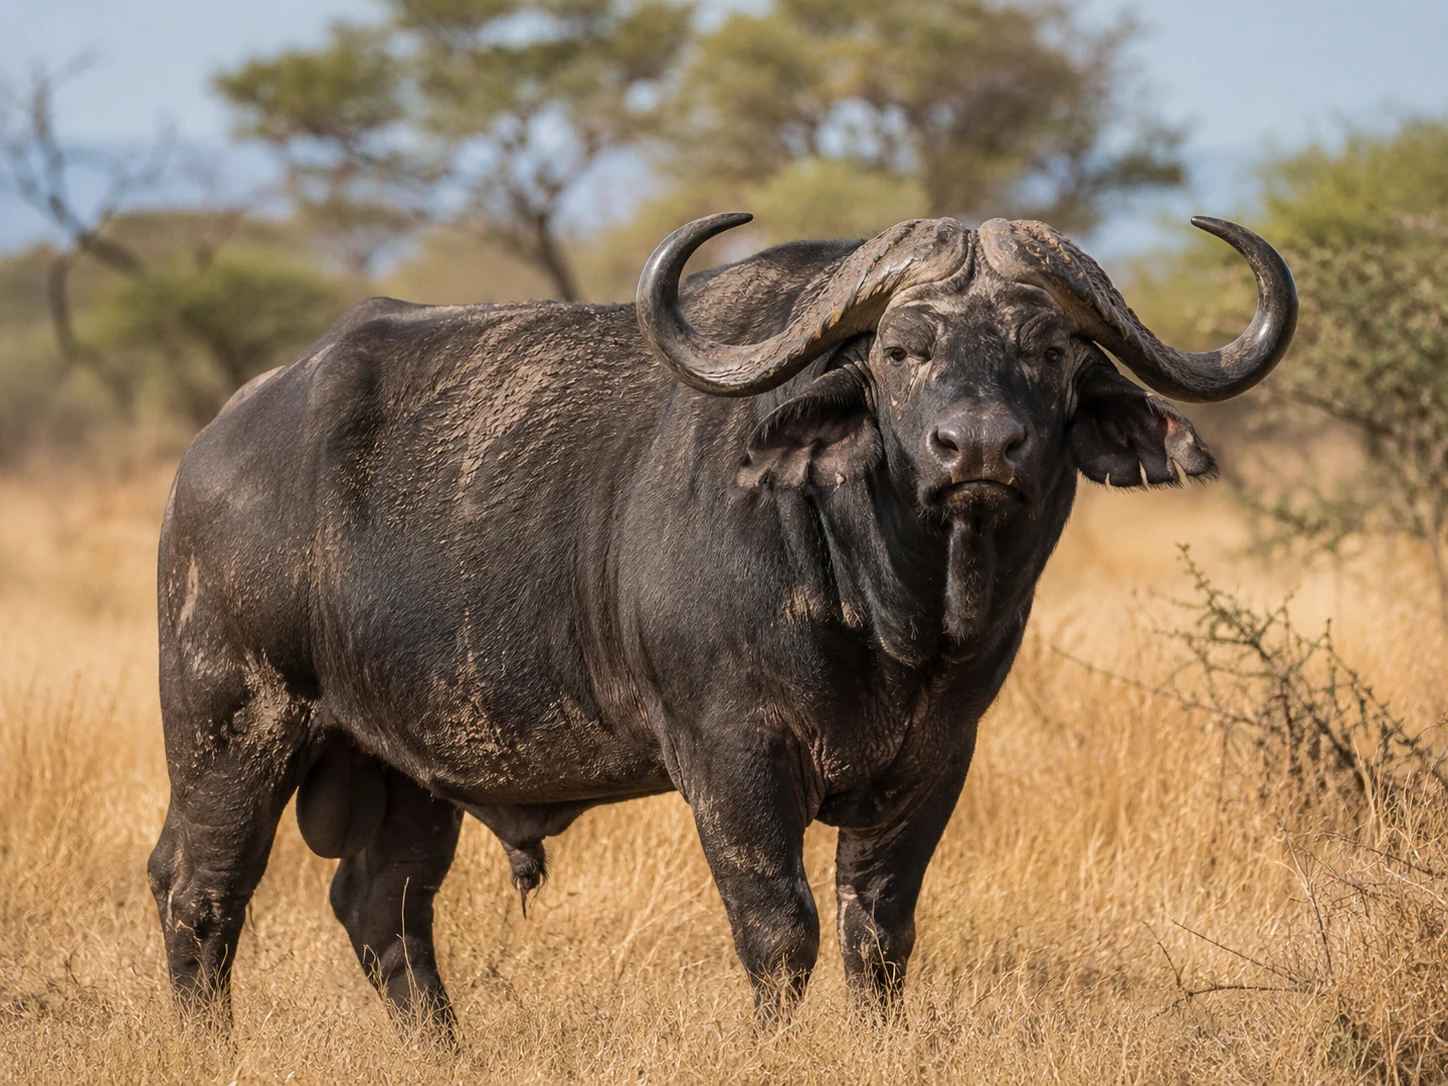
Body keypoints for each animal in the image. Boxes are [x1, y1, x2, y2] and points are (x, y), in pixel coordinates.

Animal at [148, 212, 1295, 1034]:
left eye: (1048, 346)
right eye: (900, 349)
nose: (977, 448)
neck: (890, 611)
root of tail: (216, 446)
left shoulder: (937, 757)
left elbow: (878, 934)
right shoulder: (729, 756)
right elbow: (778, 930)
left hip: (410, 766)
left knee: (381, 904)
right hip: (232, 726)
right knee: (199, 892)